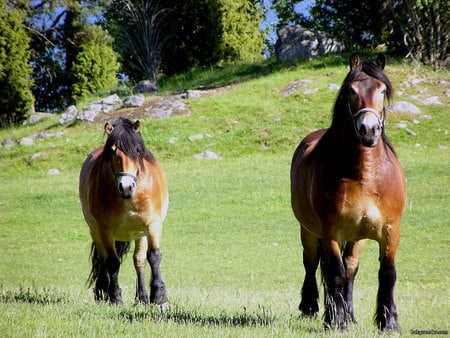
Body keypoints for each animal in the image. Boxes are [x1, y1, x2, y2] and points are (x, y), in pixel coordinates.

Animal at [79, 118, 169, 306]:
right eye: (113, 151)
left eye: (137, 150)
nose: (126, 187)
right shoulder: (105, 230)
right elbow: (113, 262)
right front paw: (115, 298)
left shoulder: (153, 224)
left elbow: (154, 256)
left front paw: (159, 297)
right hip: (95, 231)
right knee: (103, 259)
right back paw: (102, 292)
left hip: (139, 233)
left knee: (139, 260)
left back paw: (142, 297)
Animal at [290, 53, 406, 332]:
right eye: (352, 91)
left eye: (382, 90)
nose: (368, 129)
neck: (364, 177)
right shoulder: (331, 233)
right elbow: (335, 274)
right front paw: (336, 321)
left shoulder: (390, 230)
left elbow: (387, 273)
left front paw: (388, 322)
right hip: (308, 231)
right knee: (312, 263)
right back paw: (313, 307)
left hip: (358, 237)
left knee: (351, 269)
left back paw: (351, 314)